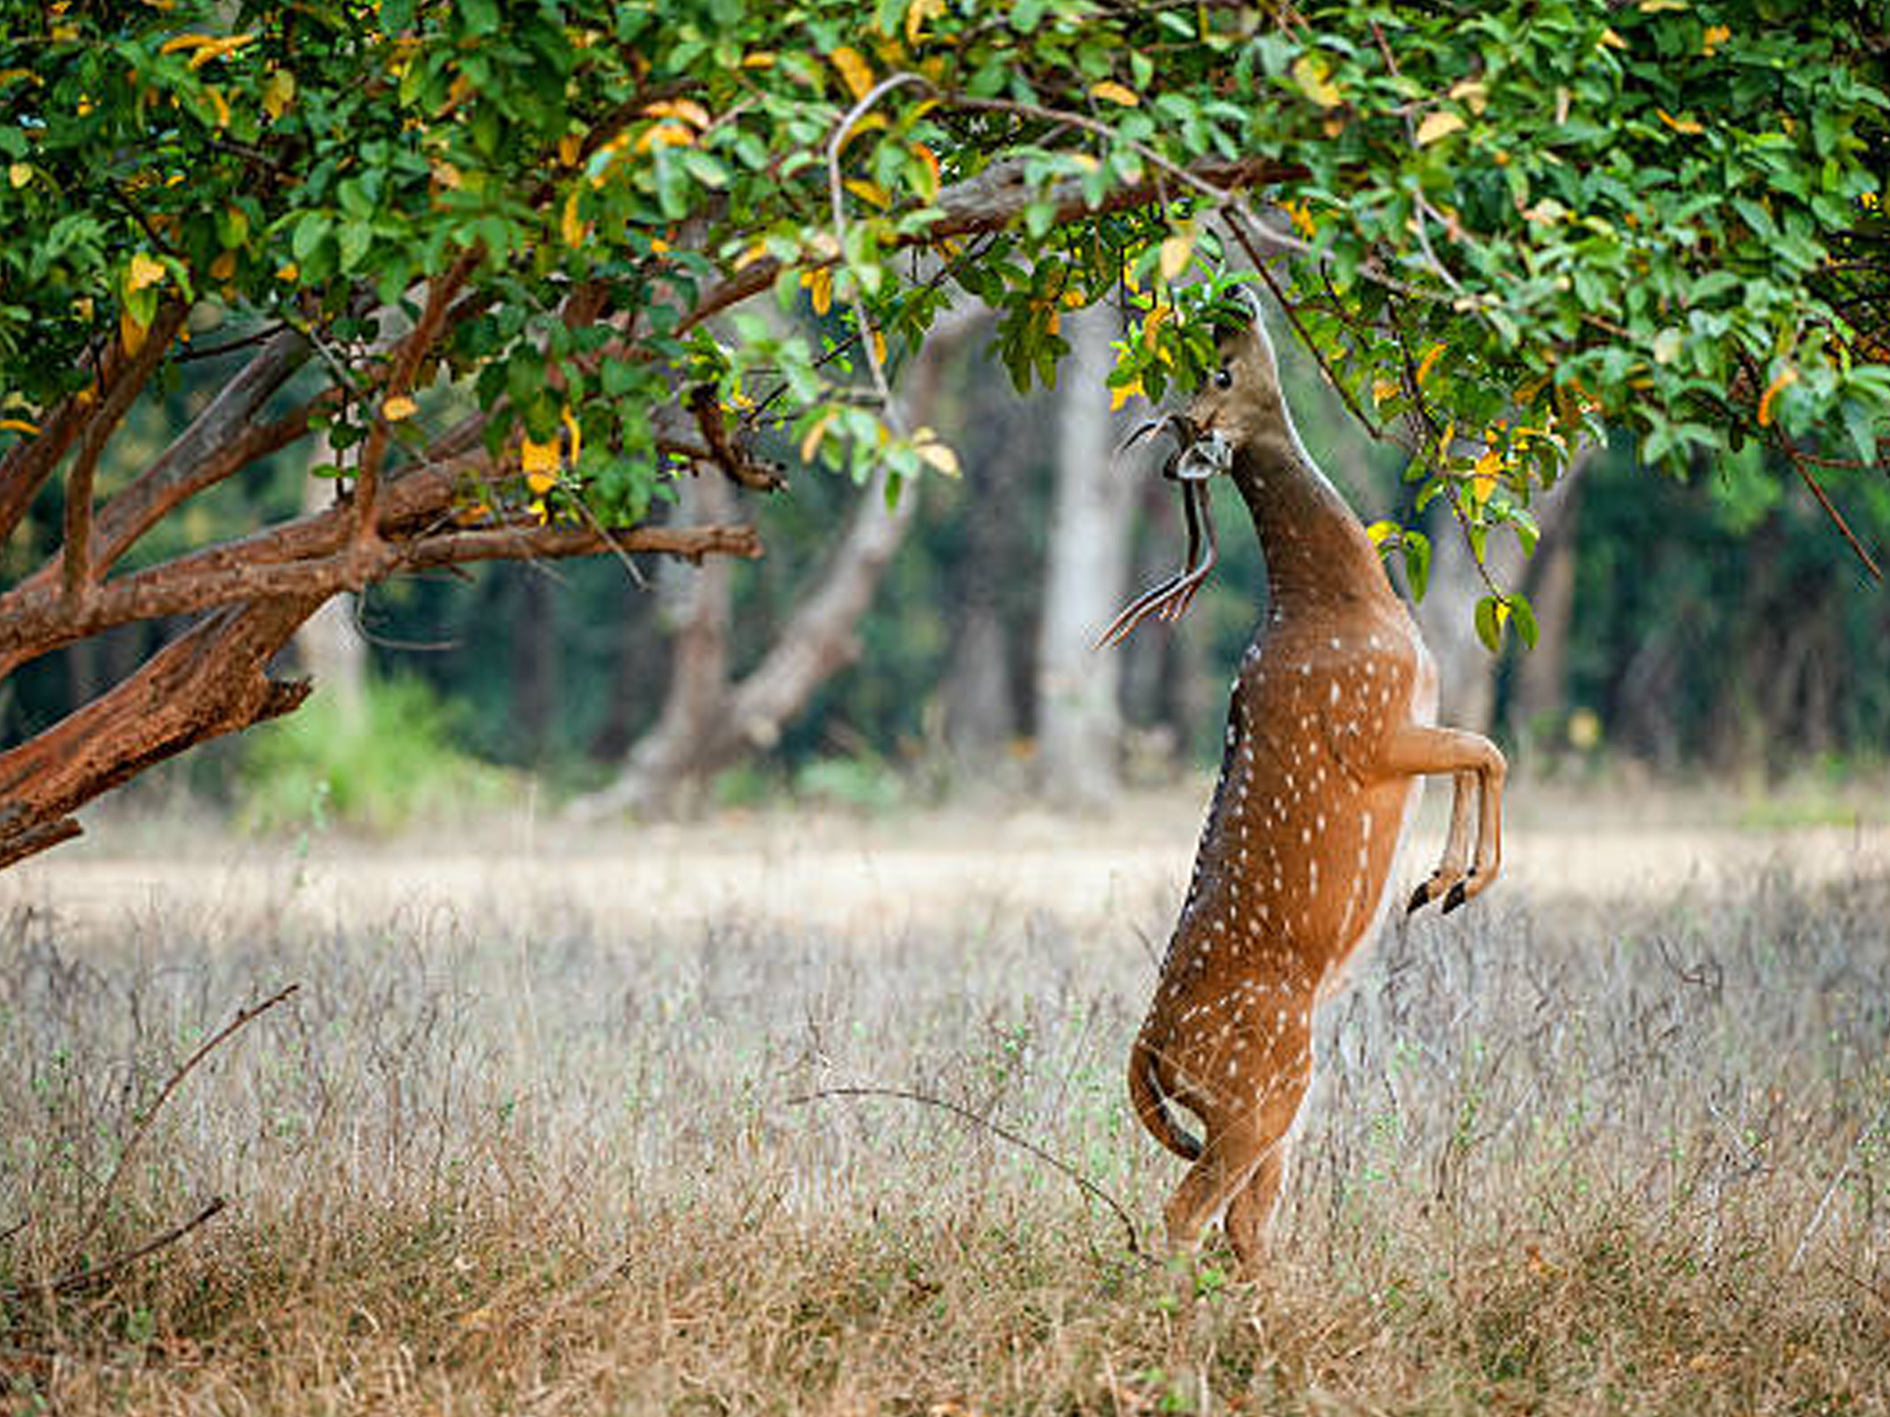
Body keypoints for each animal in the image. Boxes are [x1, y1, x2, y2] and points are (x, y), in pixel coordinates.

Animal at [1103, 289, 1504, 1277]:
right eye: (1219, 370)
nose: (1232, 297)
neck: (1344, 604)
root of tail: (1151, 1052)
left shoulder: (1411, 716)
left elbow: (1478, 750)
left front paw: (1439, 880)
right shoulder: (1371, 726)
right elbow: (1486, 747)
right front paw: (1456, 881)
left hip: (1270, 1105)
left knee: (1245, 1225)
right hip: (1262, 1087)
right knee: (1186, 1213)